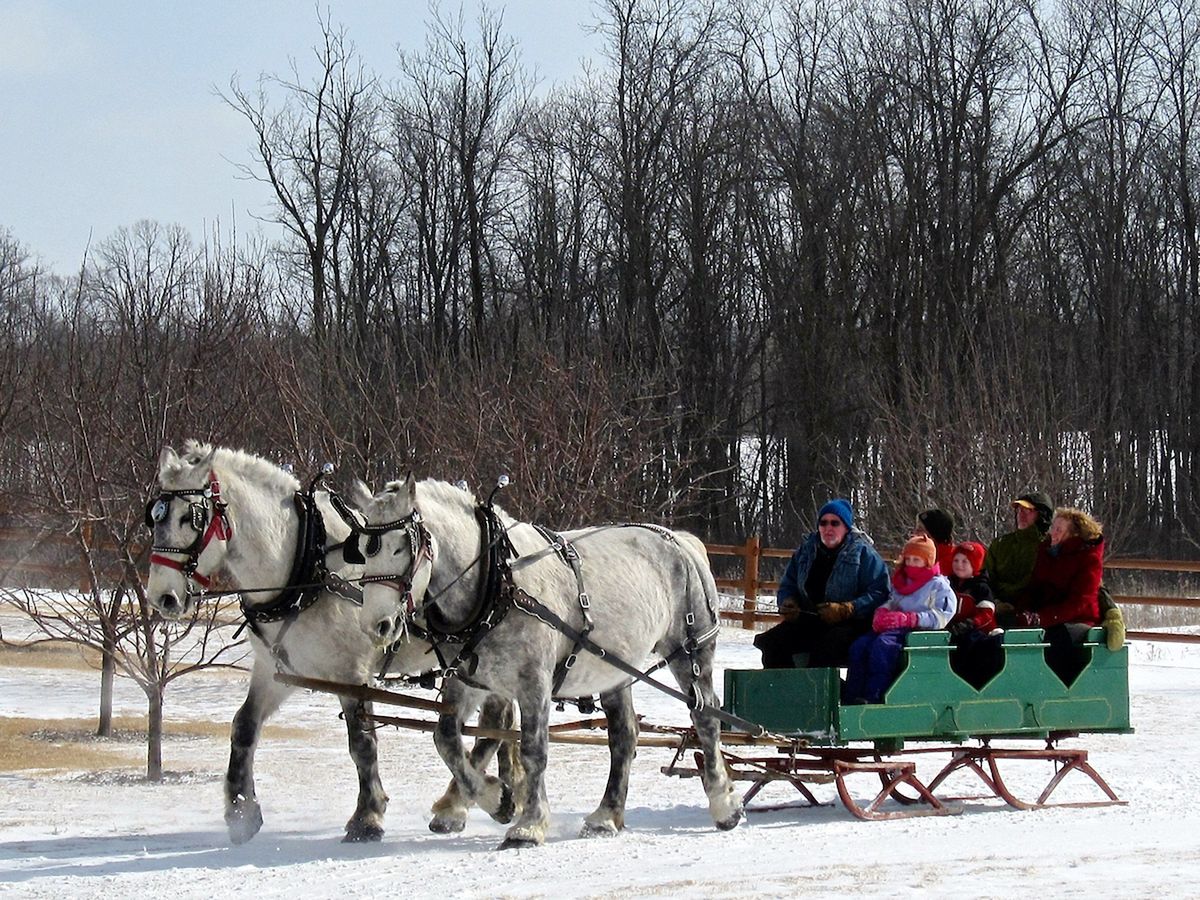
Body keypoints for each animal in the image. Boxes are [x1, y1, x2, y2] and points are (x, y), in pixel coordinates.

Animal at [142, 448, 518, 849]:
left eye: (190, 518)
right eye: (153, 518)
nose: (162, 598)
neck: (307, 564)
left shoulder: (350, 673)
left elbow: (362, 743)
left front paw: (367, 817)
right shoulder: (276, 669)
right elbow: (243, 727)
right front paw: (242, 812)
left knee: (495, 721)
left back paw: (463, 804)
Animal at [350, 475, 744, 849]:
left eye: (401, 546)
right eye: (363, 553)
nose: (376, 625)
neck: (496, 584)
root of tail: (681, 540)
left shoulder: (533, 683)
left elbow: (533, 751)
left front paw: (528, 826)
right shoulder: (467, 681)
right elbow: (445, 738)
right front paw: (497, 799)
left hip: (691, 652)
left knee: (706, 719)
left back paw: (724, 805)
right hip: (614, 670)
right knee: (624, 736)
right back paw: (606, 816)